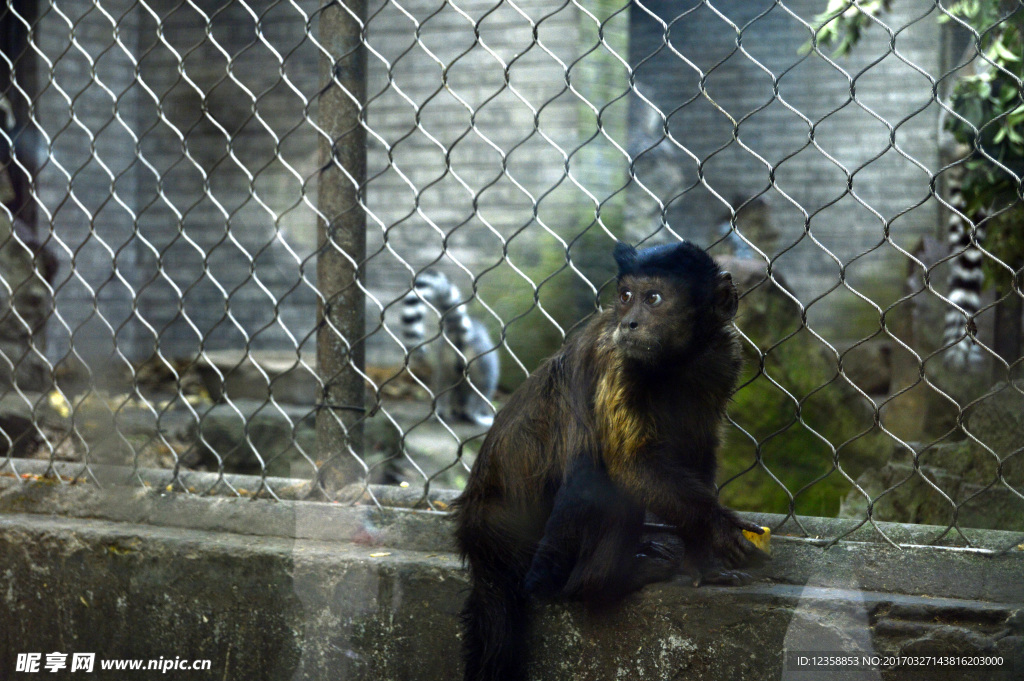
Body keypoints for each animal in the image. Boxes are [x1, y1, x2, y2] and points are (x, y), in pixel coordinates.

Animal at [399, 270, 499, 426]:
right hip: (482, 361)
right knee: (486, 384)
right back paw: (475, 415)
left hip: (446, 362)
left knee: (443, 383)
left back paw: (441, 411)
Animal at [452, 238, 765, 679]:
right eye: (625, 296)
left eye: (653, 299)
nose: (629, 323)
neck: (675, 362)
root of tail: (477, 533)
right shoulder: (615, 357)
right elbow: (630, 466)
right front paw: (716, 528)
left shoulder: (721, 358)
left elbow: (697, 452)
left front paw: (703, 560)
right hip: (526, 545)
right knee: (600, 476)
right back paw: (600, 582)